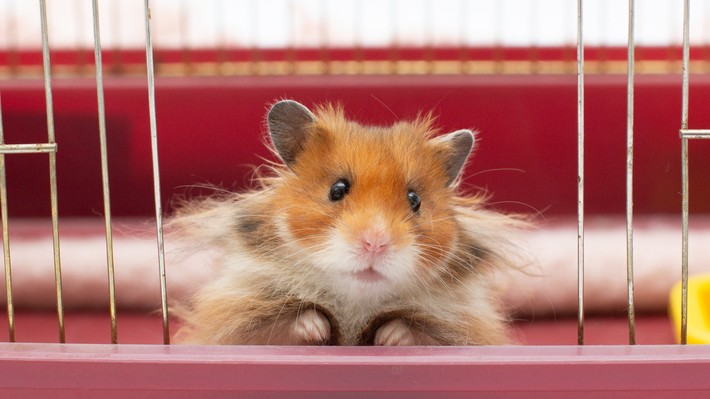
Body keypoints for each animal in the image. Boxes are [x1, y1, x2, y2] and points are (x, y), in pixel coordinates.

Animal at [169, 101, 520, 346]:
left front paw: (390, 337)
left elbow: (413, 332)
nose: (375, 242)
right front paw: (314, 327)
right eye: (337, 190)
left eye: (415, 200)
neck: (355, 303)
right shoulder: (239, 318)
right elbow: (289, 325)